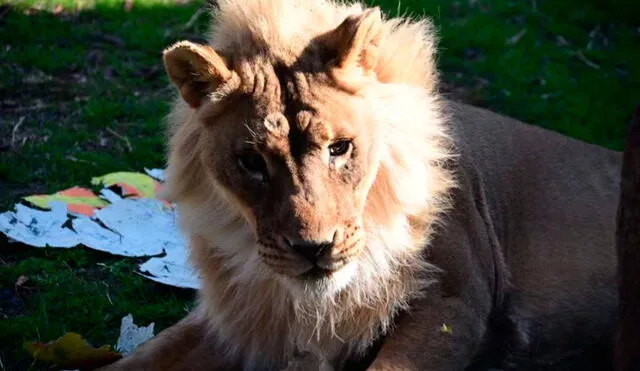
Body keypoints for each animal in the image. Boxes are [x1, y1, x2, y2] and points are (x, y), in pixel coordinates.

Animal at [97, 0, 624, 371]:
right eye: (251, 162)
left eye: (340, 148)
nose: (314, 248)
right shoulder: (245, 316)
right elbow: (148, 355)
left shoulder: (455, 301)